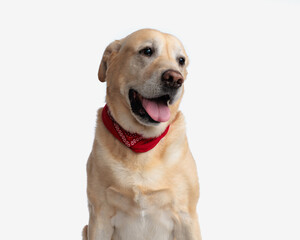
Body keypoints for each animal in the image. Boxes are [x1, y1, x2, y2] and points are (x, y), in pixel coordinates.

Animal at [82, 29, 200, 239]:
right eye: (147, 51)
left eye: (181, 60)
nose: (175, 79)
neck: (141, 140)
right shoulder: (99, 216)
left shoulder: (187, 216)